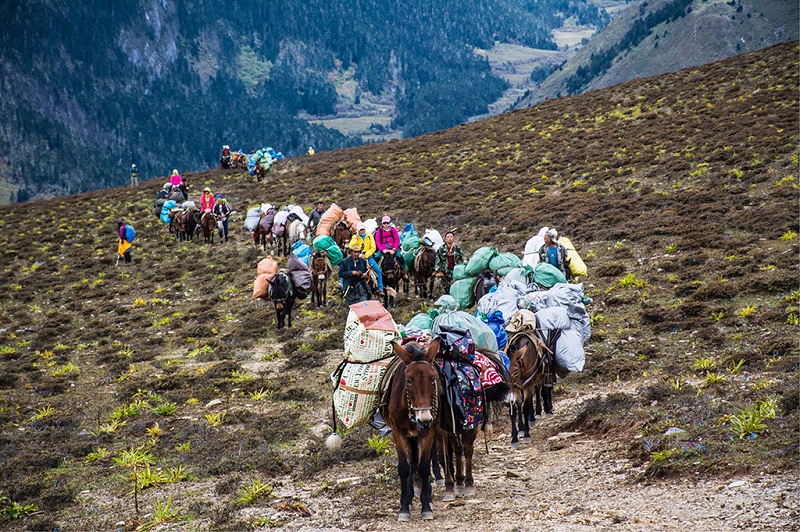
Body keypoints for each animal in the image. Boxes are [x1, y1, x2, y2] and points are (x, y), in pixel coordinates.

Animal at [384, 340, 440, 520]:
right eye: (408, 380)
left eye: (432, 378)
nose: (424, 419)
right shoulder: (398, 432)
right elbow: (404, 468)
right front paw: (403, 508)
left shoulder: (429, 432)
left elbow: (423, 467)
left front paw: (426, 507)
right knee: (410, 463)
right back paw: (408, 499)